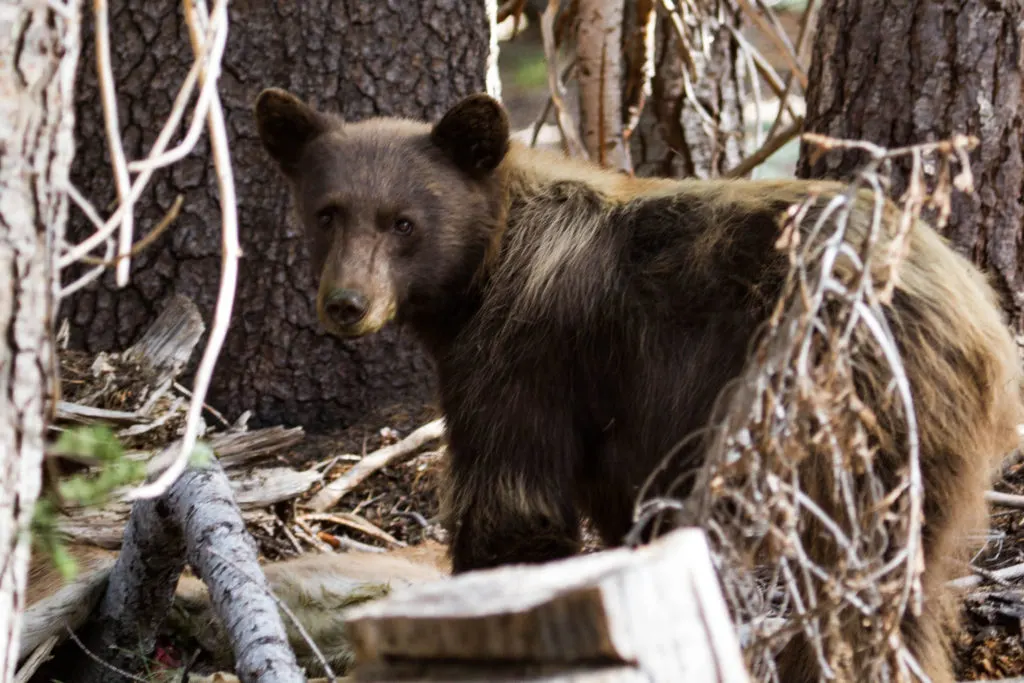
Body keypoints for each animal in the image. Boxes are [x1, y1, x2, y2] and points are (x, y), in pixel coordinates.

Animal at [253, 88, 1024, 683]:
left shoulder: (524, 355)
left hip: (848, 410)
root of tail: (982, 318)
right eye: (327, 212)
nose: (346, 304)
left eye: (403, 222)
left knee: (856, 576)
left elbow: (512, 498)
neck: (487, 263)